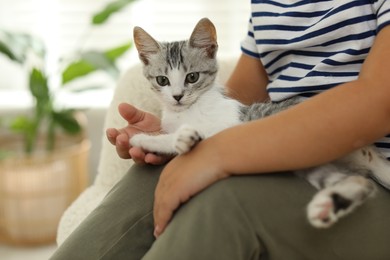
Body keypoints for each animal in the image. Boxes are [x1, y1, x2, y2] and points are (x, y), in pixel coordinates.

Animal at [129, 18, 390, 228]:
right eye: (162, 80)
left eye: (192, 77)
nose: (177, 96)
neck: (185, 112)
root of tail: (368, 154)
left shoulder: (224, 128)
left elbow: (180, 138)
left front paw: (146, 138)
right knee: (361, 184)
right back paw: (327, 205)